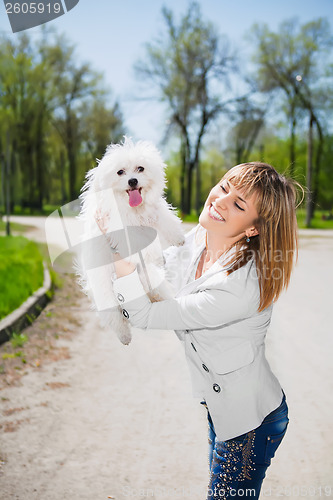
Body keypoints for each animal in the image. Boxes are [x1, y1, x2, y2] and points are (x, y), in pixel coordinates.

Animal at [75, 139, 184, 346]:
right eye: (120, 172)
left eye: (140, 168)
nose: (132, 181)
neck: (133, 209)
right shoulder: (120, 228)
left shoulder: (154, 211)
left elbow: (166, 219)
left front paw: (178, 237)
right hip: (107, 295)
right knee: (115, 318)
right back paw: (124, 336)